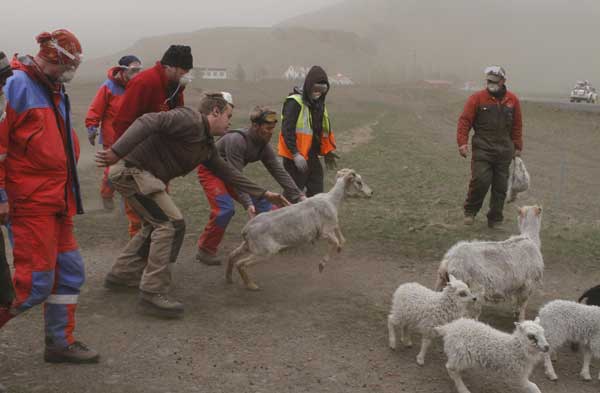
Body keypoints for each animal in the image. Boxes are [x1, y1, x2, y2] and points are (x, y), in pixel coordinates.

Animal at [227, 167, 372, 290]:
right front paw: (321, 265)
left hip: (248, 246)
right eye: (359, 182)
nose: (371, 192)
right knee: (241, 263)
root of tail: (246, 229)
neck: (333, 200)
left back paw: (229, 278)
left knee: (232, 256)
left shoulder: (332, 226)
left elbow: (340, 237)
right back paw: (251, 285)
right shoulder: (324, 232)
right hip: (264, 251)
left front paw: (340, 248)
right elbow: (336, 241)